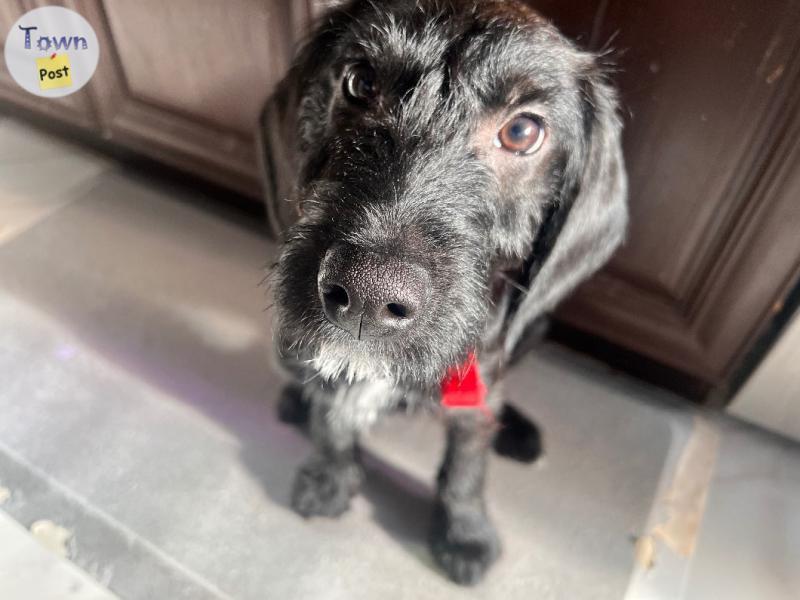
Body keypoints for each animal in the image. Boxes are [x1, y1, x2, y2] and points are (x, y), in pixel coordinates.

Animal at [260, 0, 628, 584]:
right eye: (360, 82)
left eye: (522, 131)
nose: (368, 291)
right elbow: (332, 416)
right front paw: (329, 476)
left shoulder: (479, 379)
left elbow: (467, 459)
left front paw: (464, 532)